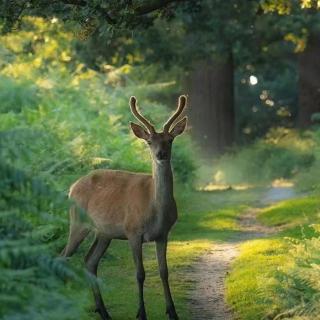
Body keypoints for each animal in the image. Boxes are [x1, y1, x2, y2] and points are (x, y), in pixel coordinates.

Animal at [60, 95, 188, 320]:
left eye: (170, 140)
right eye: (149, 141)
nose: (161, 154)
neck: (155, 209)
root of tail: (72, 187)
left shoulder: (163, 233)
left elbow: (164, 271)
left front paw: (173, 312)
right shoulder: (132, 231)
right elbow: (140, 274)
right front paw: (141, 313)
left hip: (104, 232)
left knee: (90, 261)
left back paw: (104, 312)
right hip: (77, 222)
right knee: (63, 257)